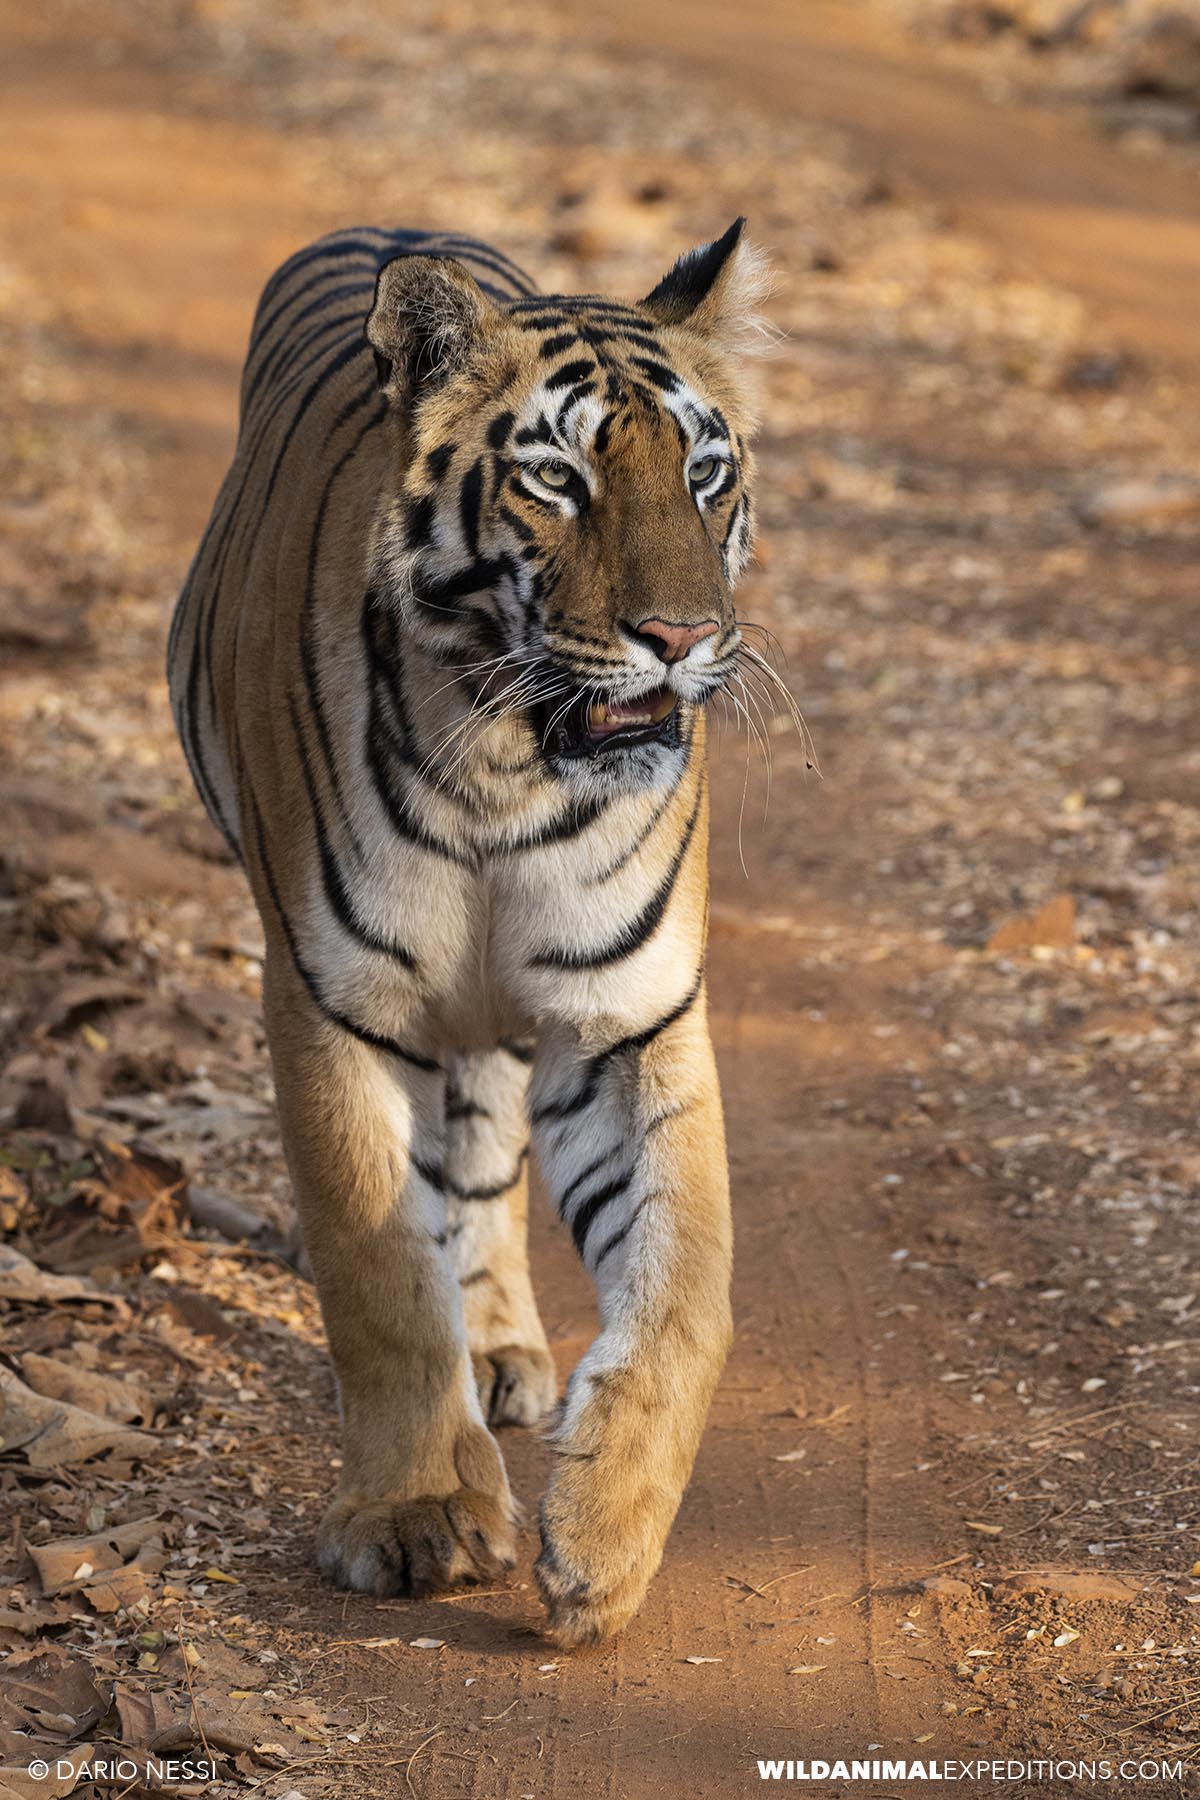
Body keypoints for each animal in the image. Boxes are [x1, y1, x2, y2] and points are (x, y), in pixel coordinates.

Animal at [167, 219, 771, 1645]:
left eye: (706, 472)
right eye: (556, 477)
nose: (684, 639)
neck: (512, 763)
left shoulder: (626, 1015)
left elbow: (686, 1286)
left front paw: (604, 1540)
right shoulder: (333, 998)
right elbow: (380, 1269)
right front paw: (417, 1519)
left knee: (489, 1156)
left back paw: (501, 1350)